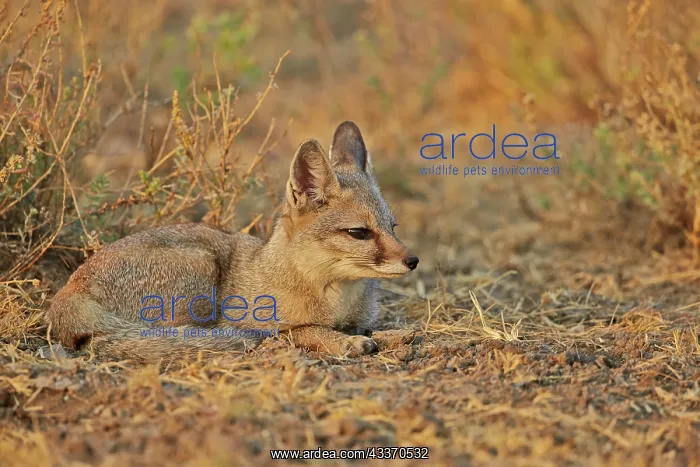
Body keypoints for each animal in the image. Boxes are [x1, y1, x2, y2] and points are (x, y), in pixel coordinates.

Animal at [45, 121, 419, 364]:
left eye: (393, 226)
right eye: (359, 232)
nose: (413, 260)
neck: (334, 299)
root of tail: (69, 288)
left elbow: (367, 328)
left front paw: (388, 335)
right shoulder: (251, 322)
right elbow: (300, 331)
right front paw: (343, 342)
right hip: (200, 267)